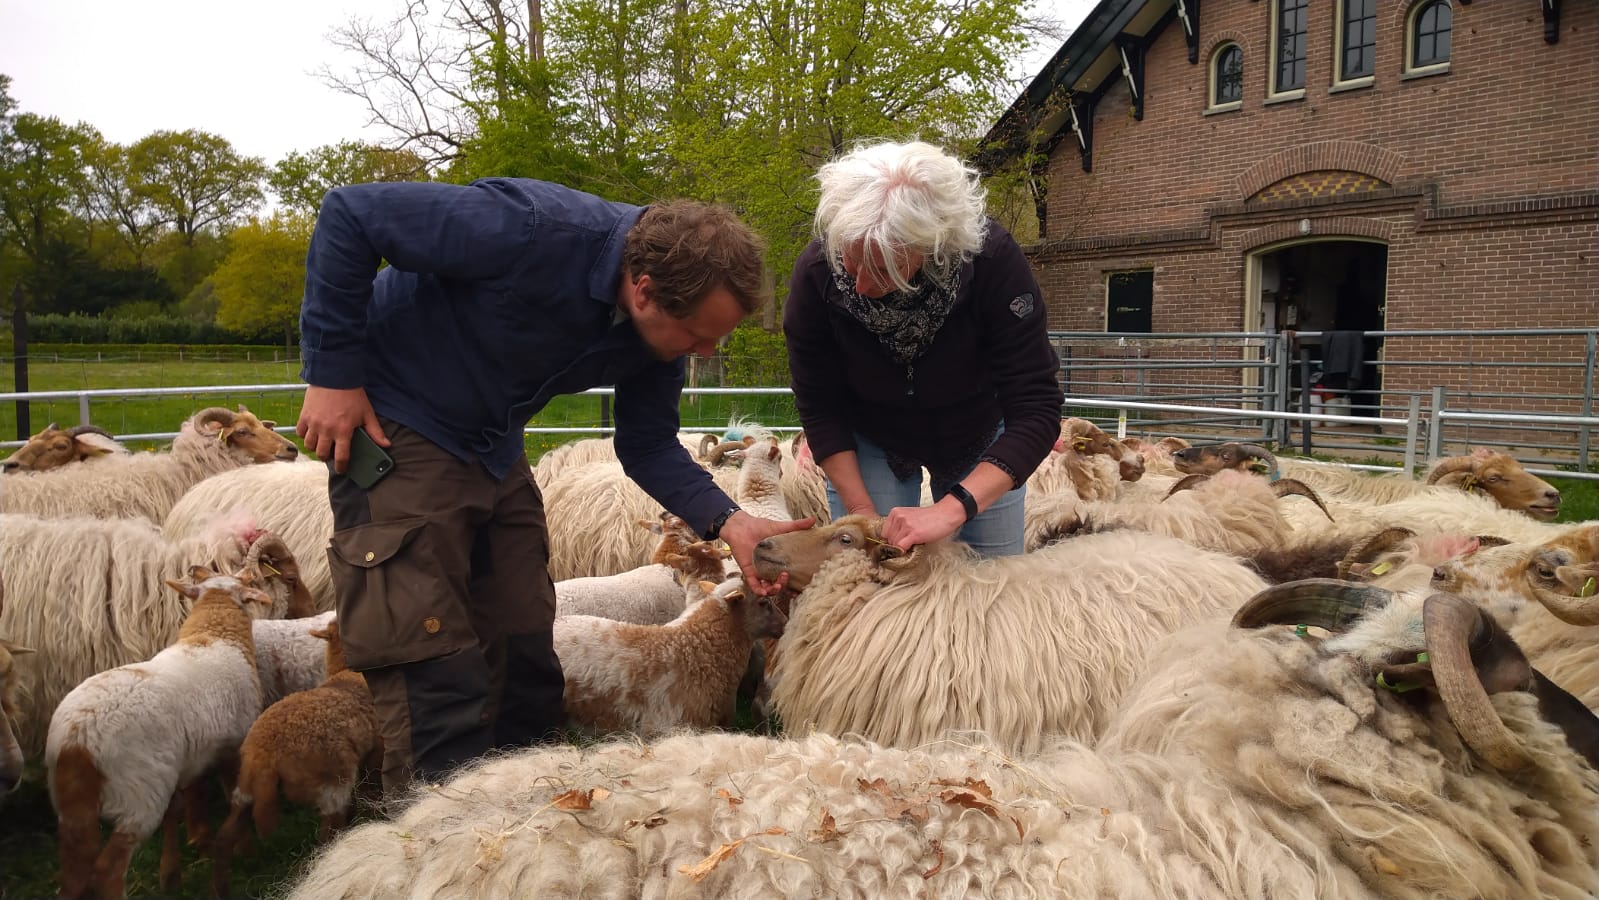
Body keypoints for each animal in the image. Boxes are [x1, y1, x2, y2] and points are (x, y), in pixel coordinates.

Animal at [43, 569, 275, 900]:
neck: (214, 636)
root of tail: (77, 741)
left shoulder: (181, 765)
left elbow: (174, 813)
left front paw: (171, 874)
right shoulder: (232, 747)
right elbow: (233, 797)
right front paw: (247, 850)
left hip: (74, 805)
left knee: (75, 870)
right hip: (138, 796)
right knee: (107, 870)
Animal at [209, 617, 380, 895]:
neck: (345, 674)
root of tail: (265, 754)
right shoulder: (375, 754)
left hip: (245, 787)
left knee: (224, 837)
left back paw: (221, 889)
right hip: (331, 781)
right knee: (327, 833)